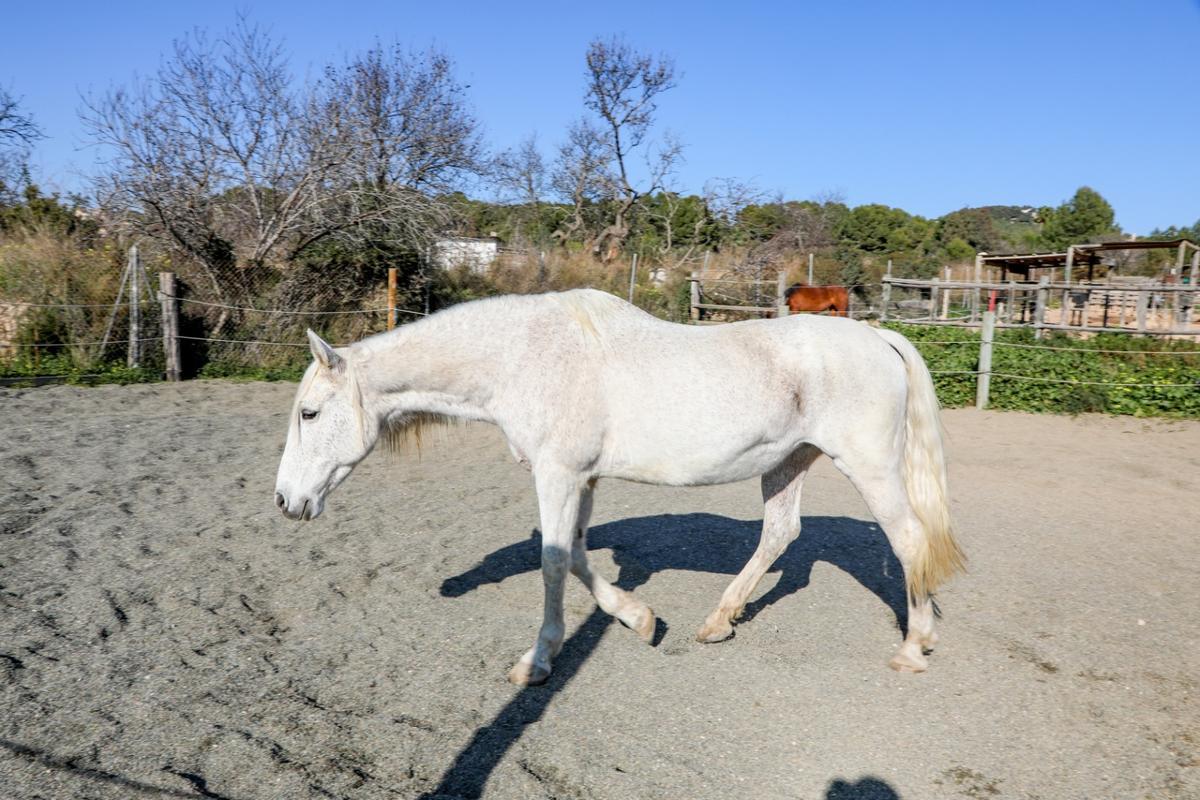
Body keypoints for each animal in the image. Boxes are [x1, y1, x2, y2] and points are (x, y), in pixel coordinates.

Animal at [274, 291, 964, 686]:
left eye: (309, 413)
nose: (285, 502)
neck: (523, 357)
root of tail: (880, 336)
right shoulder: (582, 477)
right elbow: (576, 555)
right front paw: (639, 618)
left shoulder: (557, 474)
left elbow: (553, 562)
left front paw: (536, 663)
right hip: (788, 463)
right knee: (780, 535)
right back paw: (717, 622)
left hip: (867, 466)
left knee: (907, 539)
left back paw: (915, 647)